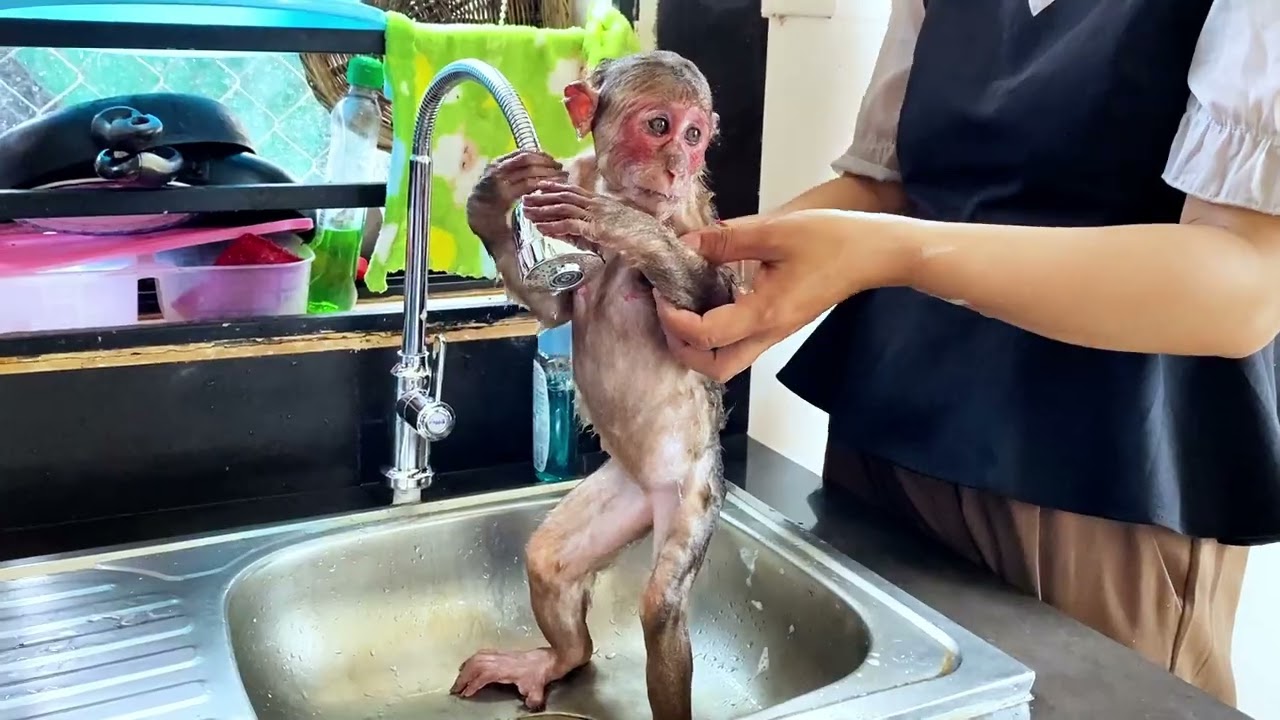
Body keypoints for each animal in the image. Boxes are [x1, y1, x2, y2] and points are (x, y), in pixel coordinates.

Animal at [448, 50, 739, 720]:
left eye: (694, 135)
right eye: (659, 126)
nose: (678, 162)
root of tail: (651, 490)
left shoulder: (690, 217)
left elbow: (719, 319)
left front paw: (621, 227)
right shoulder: (576, 175)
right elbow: (555, 308)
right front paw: (494, 201)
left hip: (692, 492)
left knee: (660, 608)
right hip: (623, 493)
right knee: (549, 561)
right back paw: (561, 658)